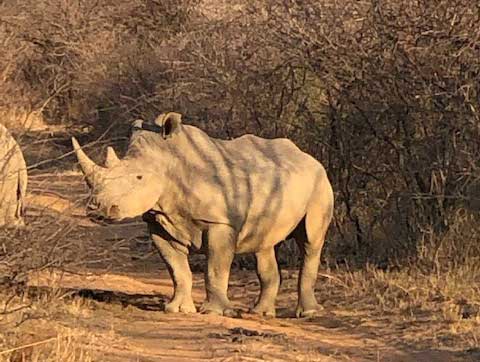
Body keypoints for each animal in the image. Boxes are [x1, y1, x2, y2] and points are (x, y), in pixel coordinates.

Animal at [72, 112, 334, 316]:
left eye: (139, 177)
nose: (98, 210)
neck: (170, 163)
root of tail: (309, 157)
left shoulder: (221, 222)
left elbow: (215, 269)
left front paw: (214, 312)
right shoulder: (158, 222)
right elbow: (177, 269)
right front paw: (177, 310)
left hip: (320, 183)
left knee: (310, 241)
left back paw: (308, 313)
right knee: (264, 246)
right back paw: (260, 313)